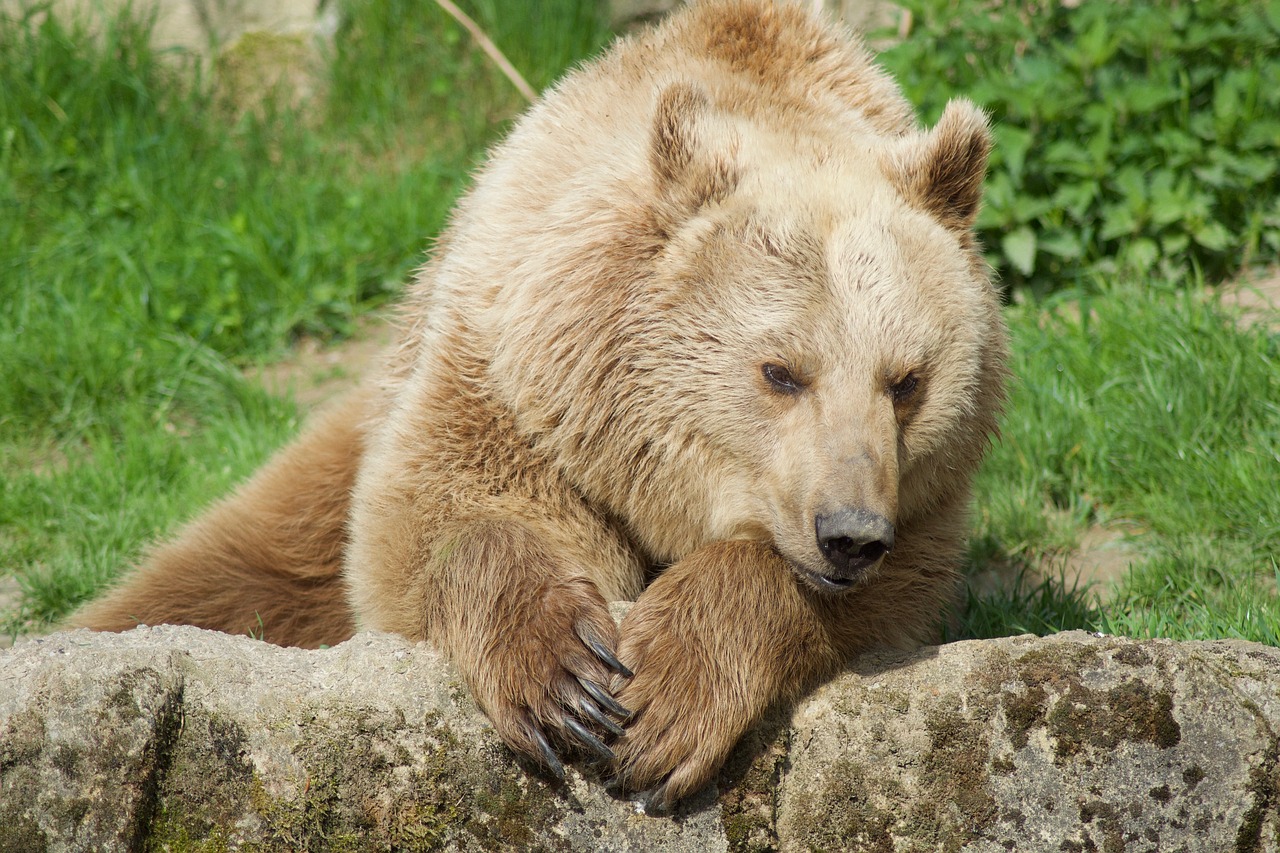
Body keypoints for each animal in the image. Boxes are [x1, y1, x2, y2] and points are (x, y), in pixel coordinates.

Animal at [70, 0, 1008, 809]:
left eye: (906, 379)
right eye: (781, 371)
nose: (849, 533)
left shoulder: (923, 507)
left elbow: (876, 592)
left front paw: (667, 697)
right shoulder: (512, 385)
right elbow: (435, 522)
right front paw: (568, 678)